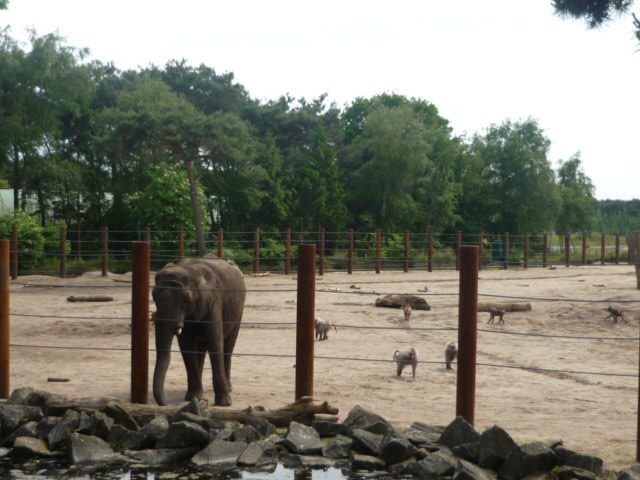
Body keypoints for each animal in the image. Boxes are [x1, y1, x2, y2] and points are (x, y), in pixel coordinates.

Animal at [152, 254, 246, 407]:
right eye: (153, 296)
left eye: (185, 299)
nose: (164, 403)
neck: (189, 270)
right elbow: (186, 346)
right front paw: (193, 398)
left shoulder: (213, 300)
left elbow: (215, 341)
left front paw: (224, 403)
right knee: (200, 350)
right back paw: (198, 394)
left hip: (239, 311)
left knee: (228, 345)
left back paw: (229, 388)